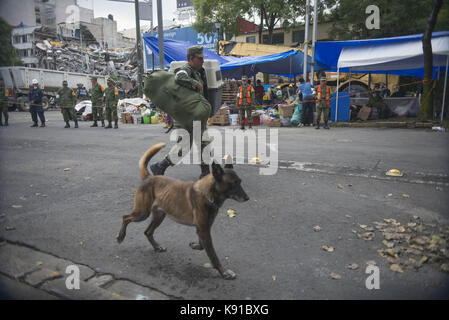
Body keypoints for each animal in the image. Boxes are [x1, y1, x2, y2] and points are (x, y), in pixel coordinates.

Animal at [116, 143, 248, 280]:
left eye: (240, 182)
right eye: (232, 184)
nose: (247, 198)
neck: (207, 194)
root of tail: (149, 177)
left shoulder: (204, 228)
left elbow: (202, 246)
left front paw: (196, 245)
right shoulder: (204, 230)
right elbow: (213, 255)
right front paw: (224, 272)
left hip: (159, 216)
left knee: (147, 232)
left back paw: (157, 247)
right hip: (142, 213)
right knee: (125, 217)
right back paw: (121, 236)